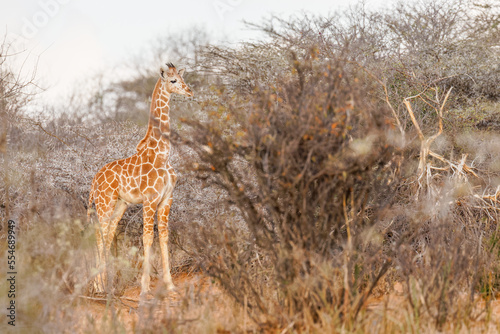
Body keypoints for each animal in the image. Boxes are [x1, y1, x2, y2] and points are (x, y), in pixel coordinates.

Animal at [88, 62, 193, 294]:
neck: (163, 154)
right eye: (172, 80)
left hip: (120, 204)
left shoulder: (167, 199)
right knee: (100, 234)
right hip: (104, 202)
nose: (190, 91)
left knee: (109, 233)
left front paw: (170, 284)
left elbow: (163, 236)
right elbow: (147, 237)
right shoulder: (150, 199)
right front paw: (145, 287)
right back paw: (99, 286)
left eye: (183, 79)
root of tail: (94, 180)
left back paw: (106, 283)